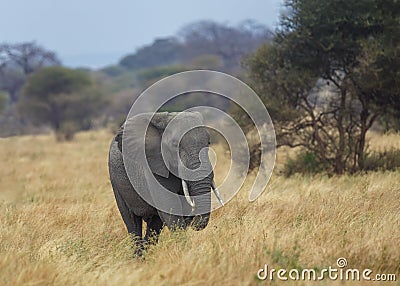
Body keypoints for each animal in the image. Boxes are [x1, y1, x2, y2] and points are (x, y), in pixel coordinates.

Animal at [108, 111, 223, 255]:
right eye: (174, 145)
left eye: (208, 142)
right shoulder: (153, 166)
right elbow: (170, 209)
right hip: (115, 179)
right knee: (132, 224)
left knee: (154, 226)